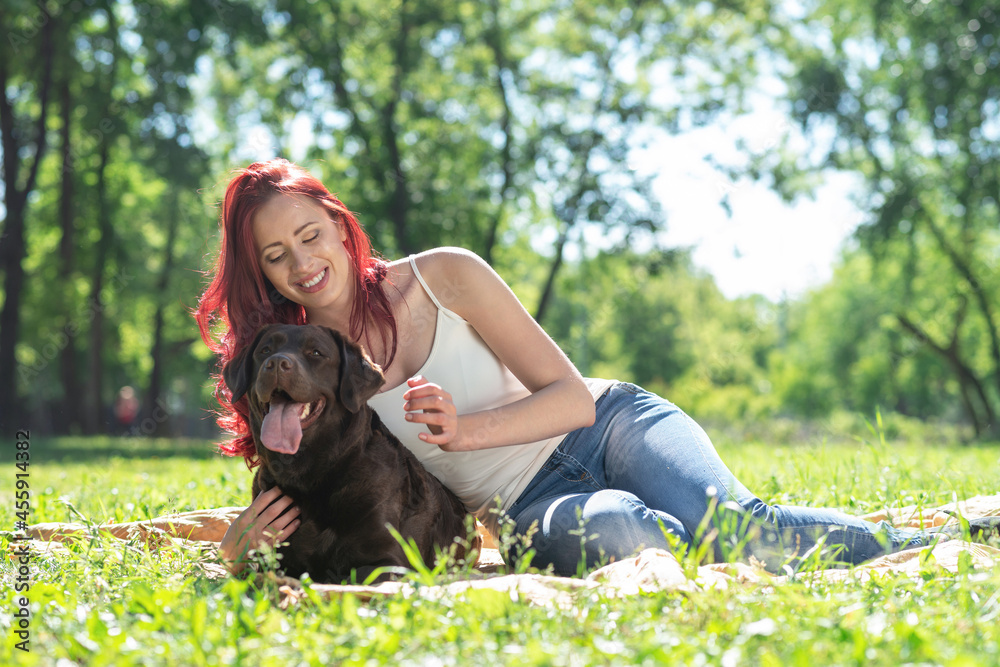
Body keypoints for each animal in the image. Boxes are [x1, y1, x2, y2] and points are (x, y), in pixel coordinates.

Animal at [224, 326, 480, 580]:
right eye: (265, 350)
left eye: (316, 353)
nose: (276, 362)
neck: (309, 475)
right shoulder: (276, 560)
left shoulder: (389, 561)